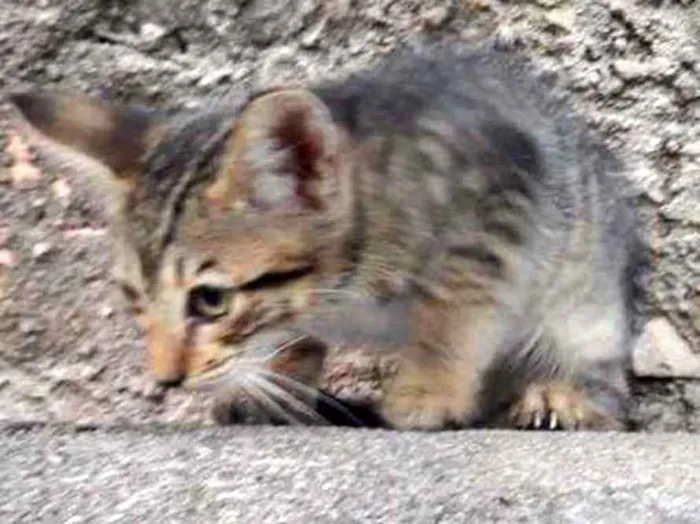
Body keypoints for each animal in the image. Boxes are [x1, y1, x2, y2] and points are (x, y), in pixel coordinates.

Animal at [9, 44, 640, 430]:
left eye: (210, 300)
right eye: (135, 300)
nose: (167, 380)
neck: (341, 290)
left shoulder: (501, 201)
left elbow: (453, 311)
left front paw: (429, 391)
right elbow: (290, 341)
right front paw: (273, 385)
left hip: (583, 305)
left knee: (608, 383)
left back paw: (563, 394)